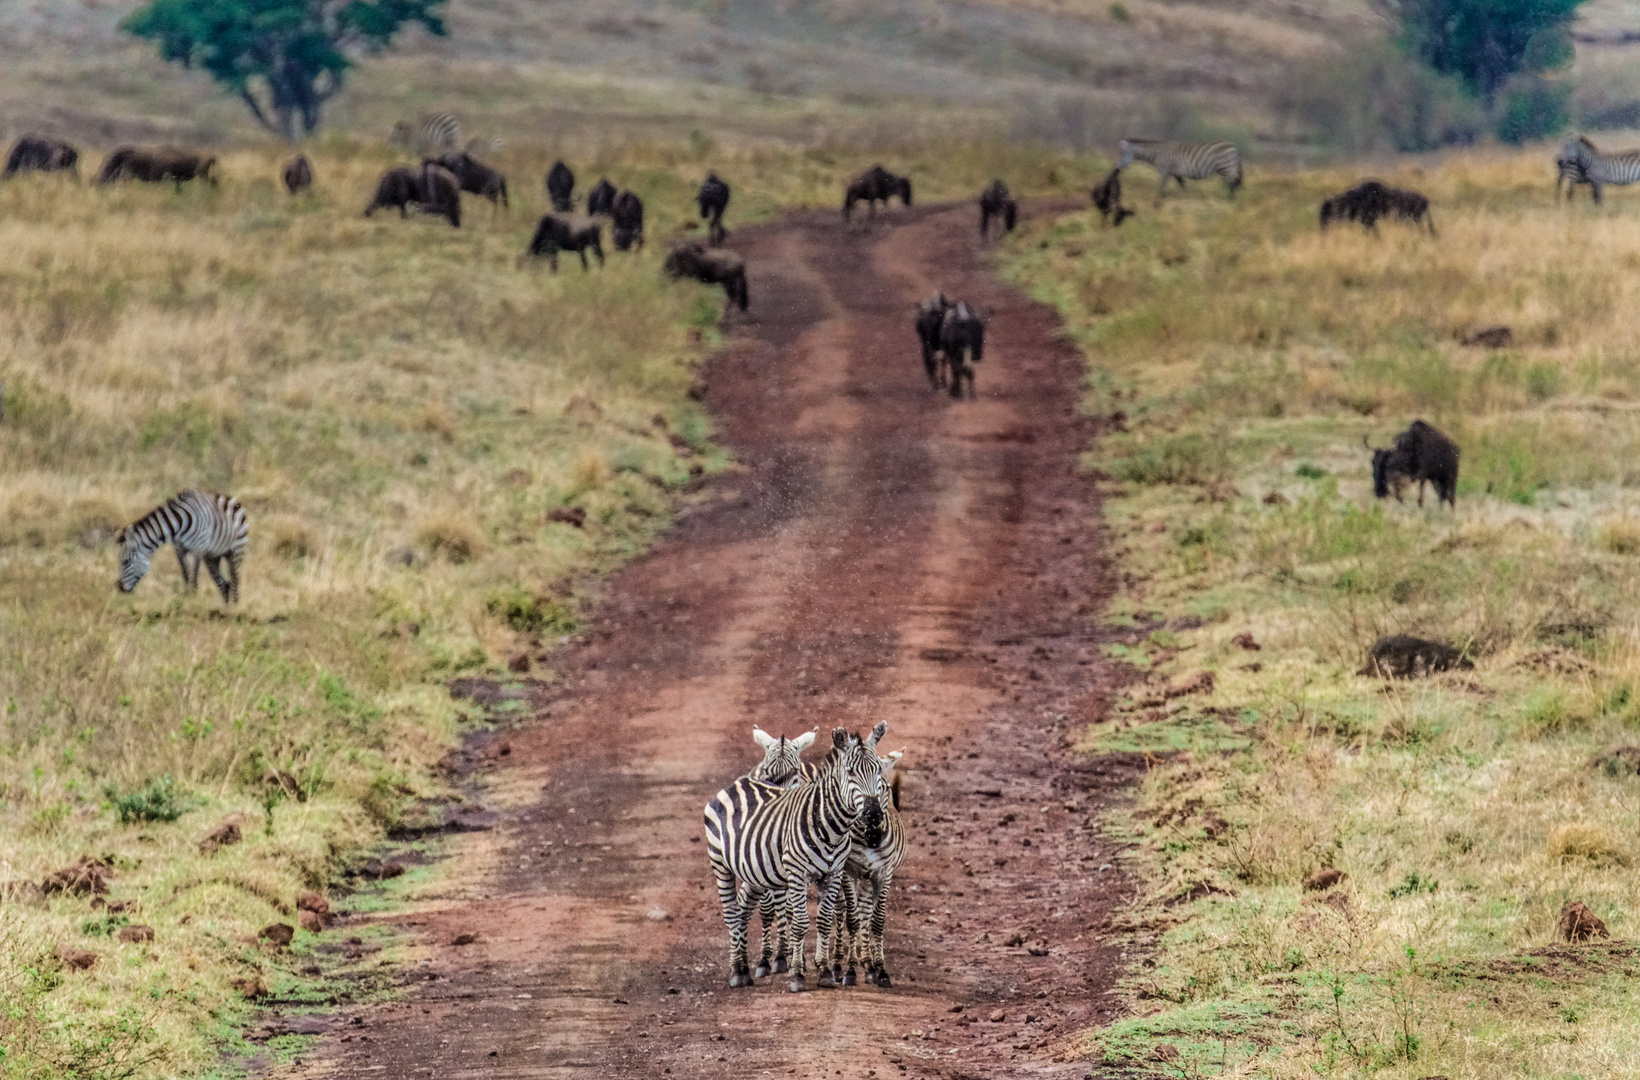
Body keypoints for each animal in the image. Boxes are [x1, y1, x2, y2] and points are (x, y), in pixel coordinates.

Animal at [117, 491, 247, 603]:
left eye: (126, 562)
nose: (119, 588)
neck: (179, 524)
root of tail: (232, 499)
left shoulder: (198, 549)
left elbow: (193, 577)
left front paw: (193, 599)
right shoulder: (179, 549)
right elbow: (185, 575)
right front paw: (186, 597)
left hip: (236, 552)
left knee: (235, 581)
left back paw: (235, 608)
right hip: (212, 557)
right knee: (224, 585)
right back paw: (227, 609)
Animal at [701, 721, 892, 989]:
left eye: (879, 771)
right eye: (851, 772)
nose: (873, 814)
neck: (831, 826)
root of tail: (737, 783)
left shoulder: (833, 873)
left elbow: (823, 921)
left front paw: (825, 972)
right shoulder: (798, 873)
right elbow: (800, 922)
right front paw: (797, 975)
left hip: (756, 870)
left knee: (743, 908)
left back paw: (744, 969)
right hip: (721, 864)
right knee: (731, 913)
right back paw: (738, 971)